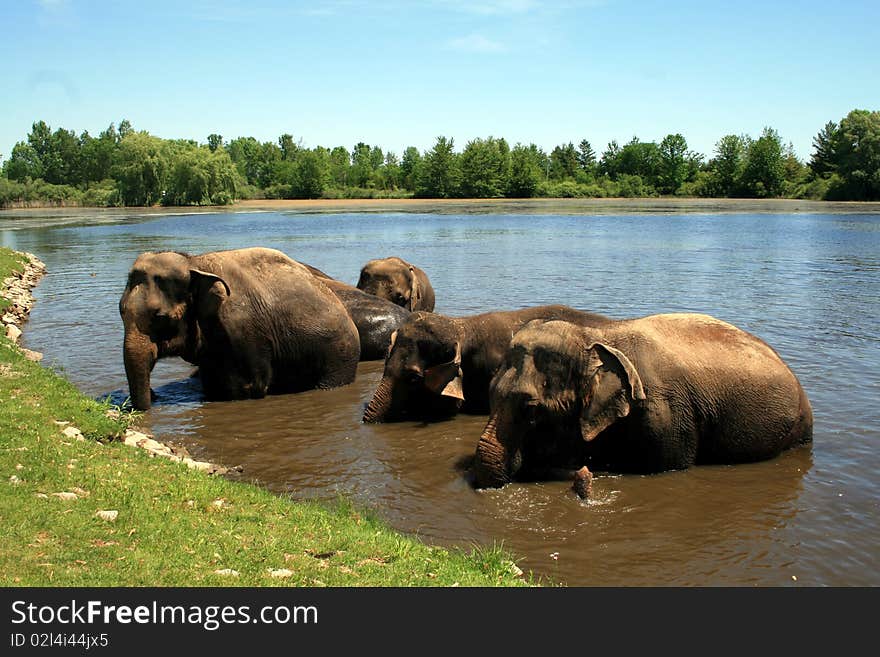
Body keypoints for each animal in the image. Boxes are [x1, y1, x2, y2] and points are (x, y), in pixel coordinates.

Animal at [120, 247, 360, 410]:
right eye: (120, 311)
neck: (195, 261)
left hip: (339, 355)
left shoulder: (244, 331)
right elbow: (214, 385)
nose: (154, 395)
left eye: (160, 317)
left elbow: (249, 386)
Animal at [470, 316, 816, 494]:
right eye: (489, 393)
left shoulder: (665, 414)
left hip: (799, 430)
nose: (583, 475)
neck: (595, 336)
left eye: (531, 409)